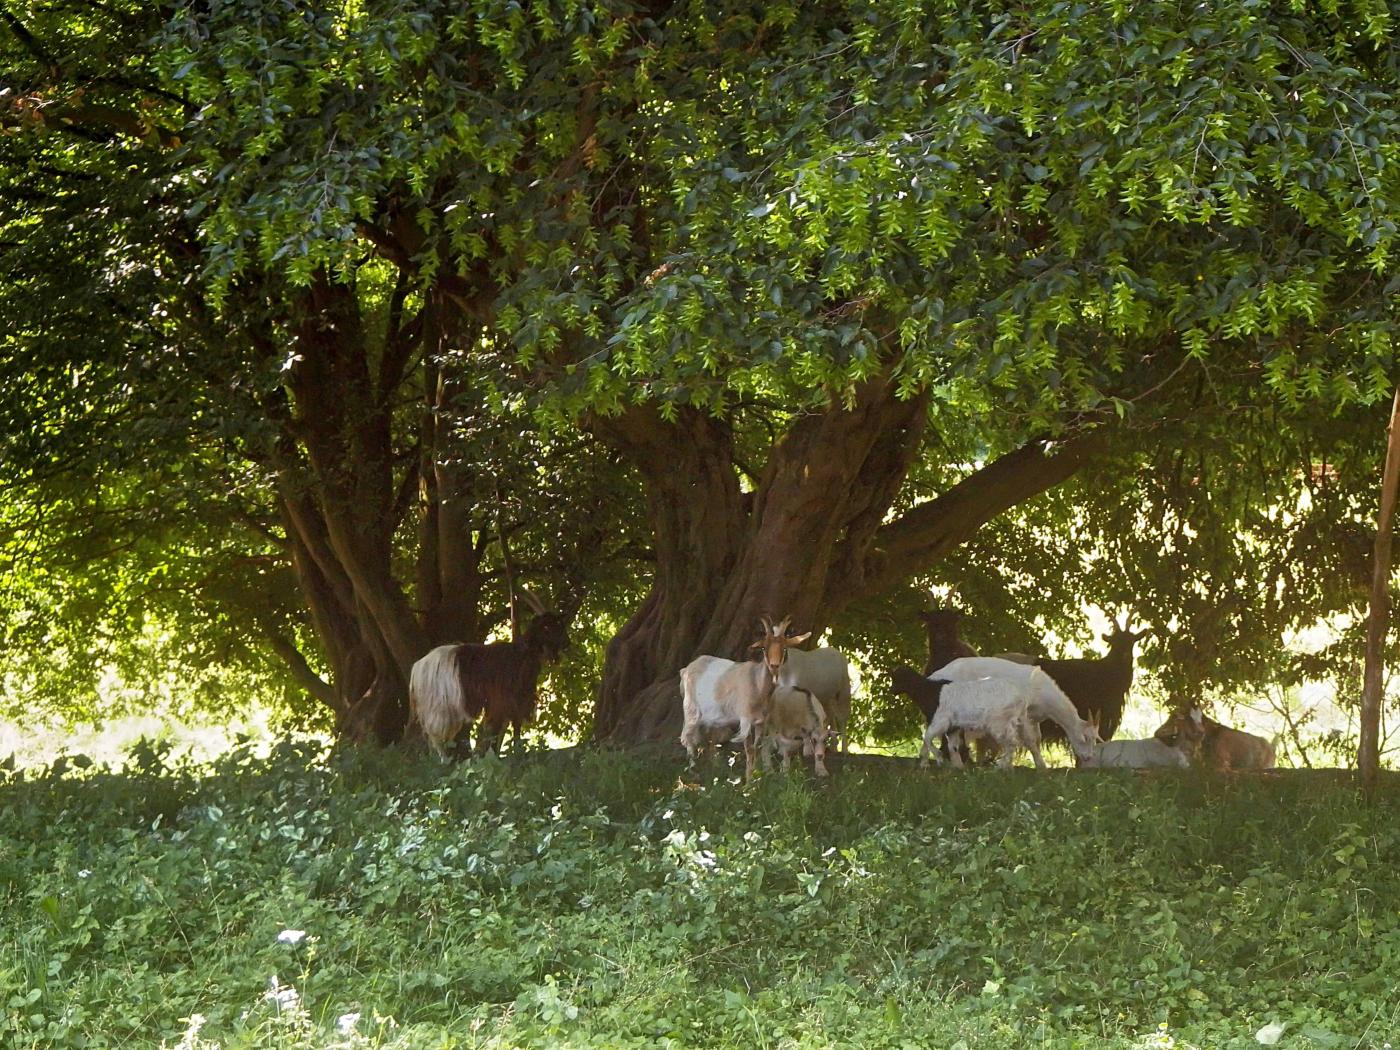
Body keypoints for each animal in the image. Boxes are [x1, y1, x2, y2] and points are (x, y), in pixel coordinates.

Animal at [677, 616, 812, 784]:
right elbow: (749, 749)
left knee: (710, 740)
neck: (757, 683)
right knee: (687, 738)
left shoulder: (761, 721)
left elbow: (757, 746)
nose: (774, 666)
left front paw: (754, 777)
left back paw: (714, 768)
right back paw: (693, 772)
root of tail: (686, 669)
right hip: (691, 708)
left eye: (785, 649)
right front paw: (749, 783)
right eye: (763, 648)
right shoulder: (745, 719)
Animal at [912, 677, 1047, 767]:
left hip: (999, 724)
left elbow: (927, 737)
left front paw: (939, 758)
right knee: (1027, 740)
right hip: (1018, 721)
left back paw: (1001, 766)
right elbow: (951, 746)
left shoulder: (941, 720)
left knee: (1012, 743)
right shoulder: (952, 726)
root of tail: (1022, 699)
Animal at [929, 658, 1103, 767]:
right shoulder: (1023, 714)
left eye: (1096, 739)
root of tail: (935, 674)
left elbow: (1036, 739)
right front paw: (1041, 766)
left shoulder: (1034, 717)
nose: (1088, 757)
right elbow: (1030, 740)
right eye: (1085, 738)